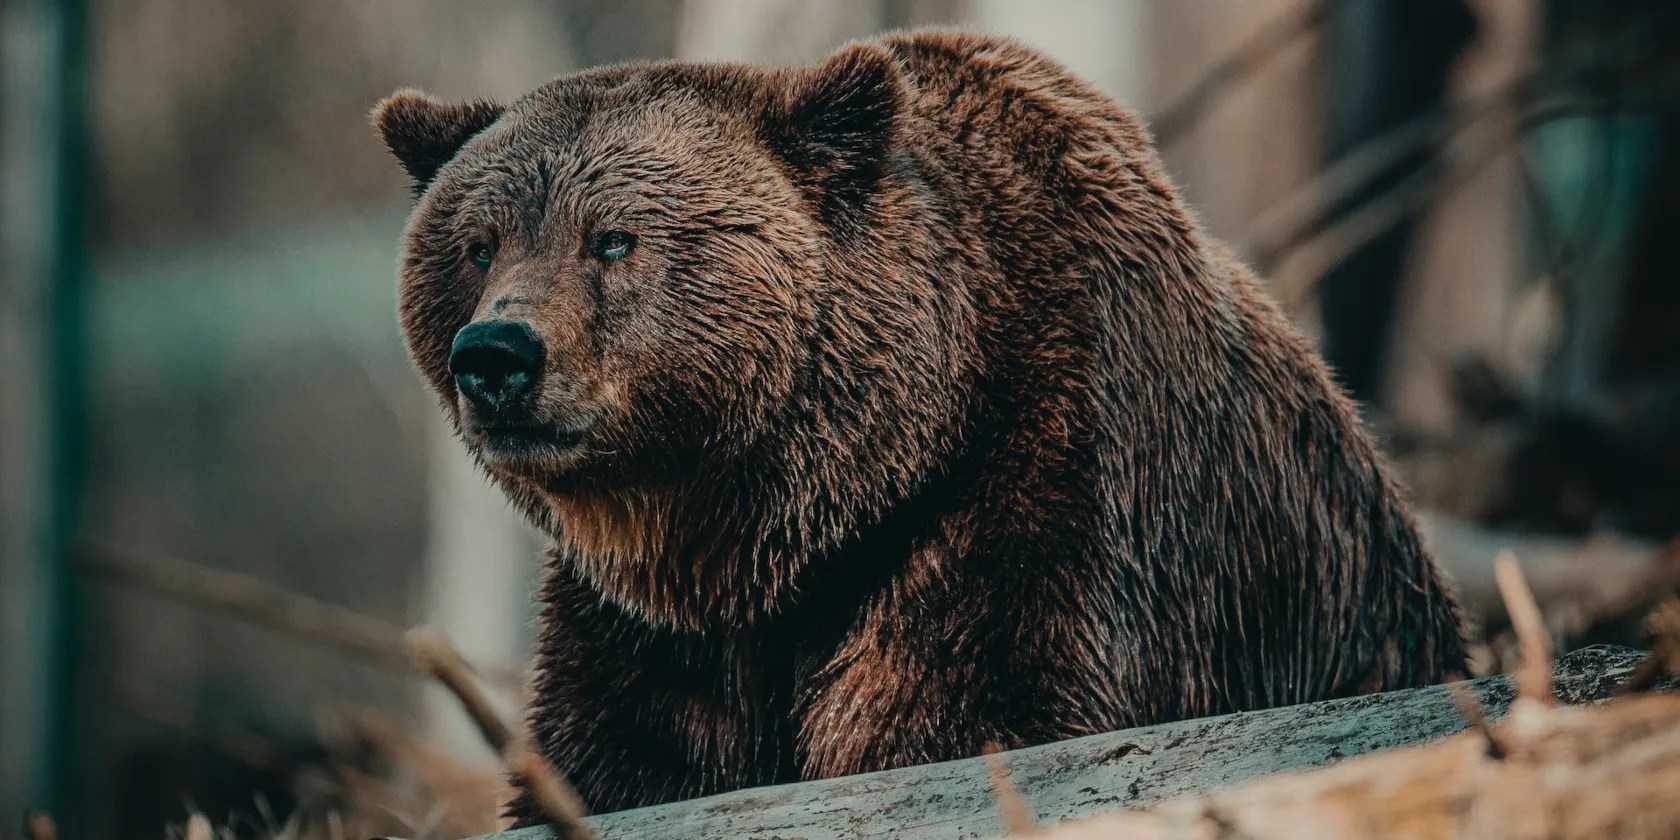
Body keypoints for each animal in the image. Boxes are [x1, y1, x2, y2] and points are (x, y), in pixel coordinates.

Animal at [373, 27, 1467, 821]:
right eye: (478, 244)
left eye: (614, 239)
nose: (496, 356)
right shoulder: (653, 631)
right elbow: (616, 758)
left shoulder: (1048, 486)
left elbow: (971, 713)